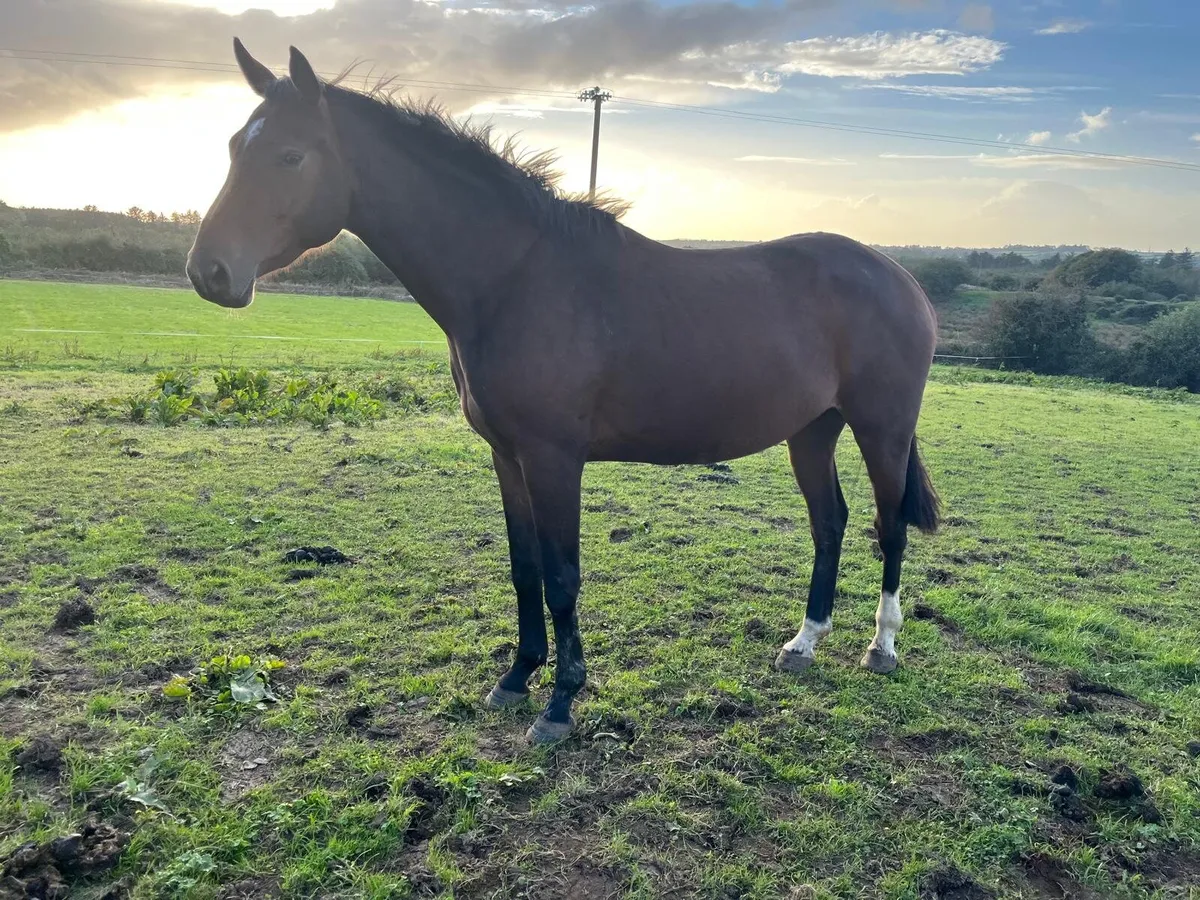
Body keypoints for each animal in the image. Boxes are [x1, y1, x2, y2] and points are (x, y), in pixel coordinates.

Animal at [186, 40, 941, 743]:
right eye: (232, 147)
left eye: (290, 156)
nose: (209, 272)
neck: (514, 279)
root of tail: (900, 277)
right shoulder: (507, 455)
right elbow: (525, 568)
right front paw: (517, 677)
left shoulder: (555, 459)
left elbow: (561, 575)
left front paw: (559, 704)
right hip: (812, 429)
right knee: (831, 522)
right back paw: (804, 642)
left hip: (881, 429)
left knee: (889, 525)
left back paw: (881, 646)